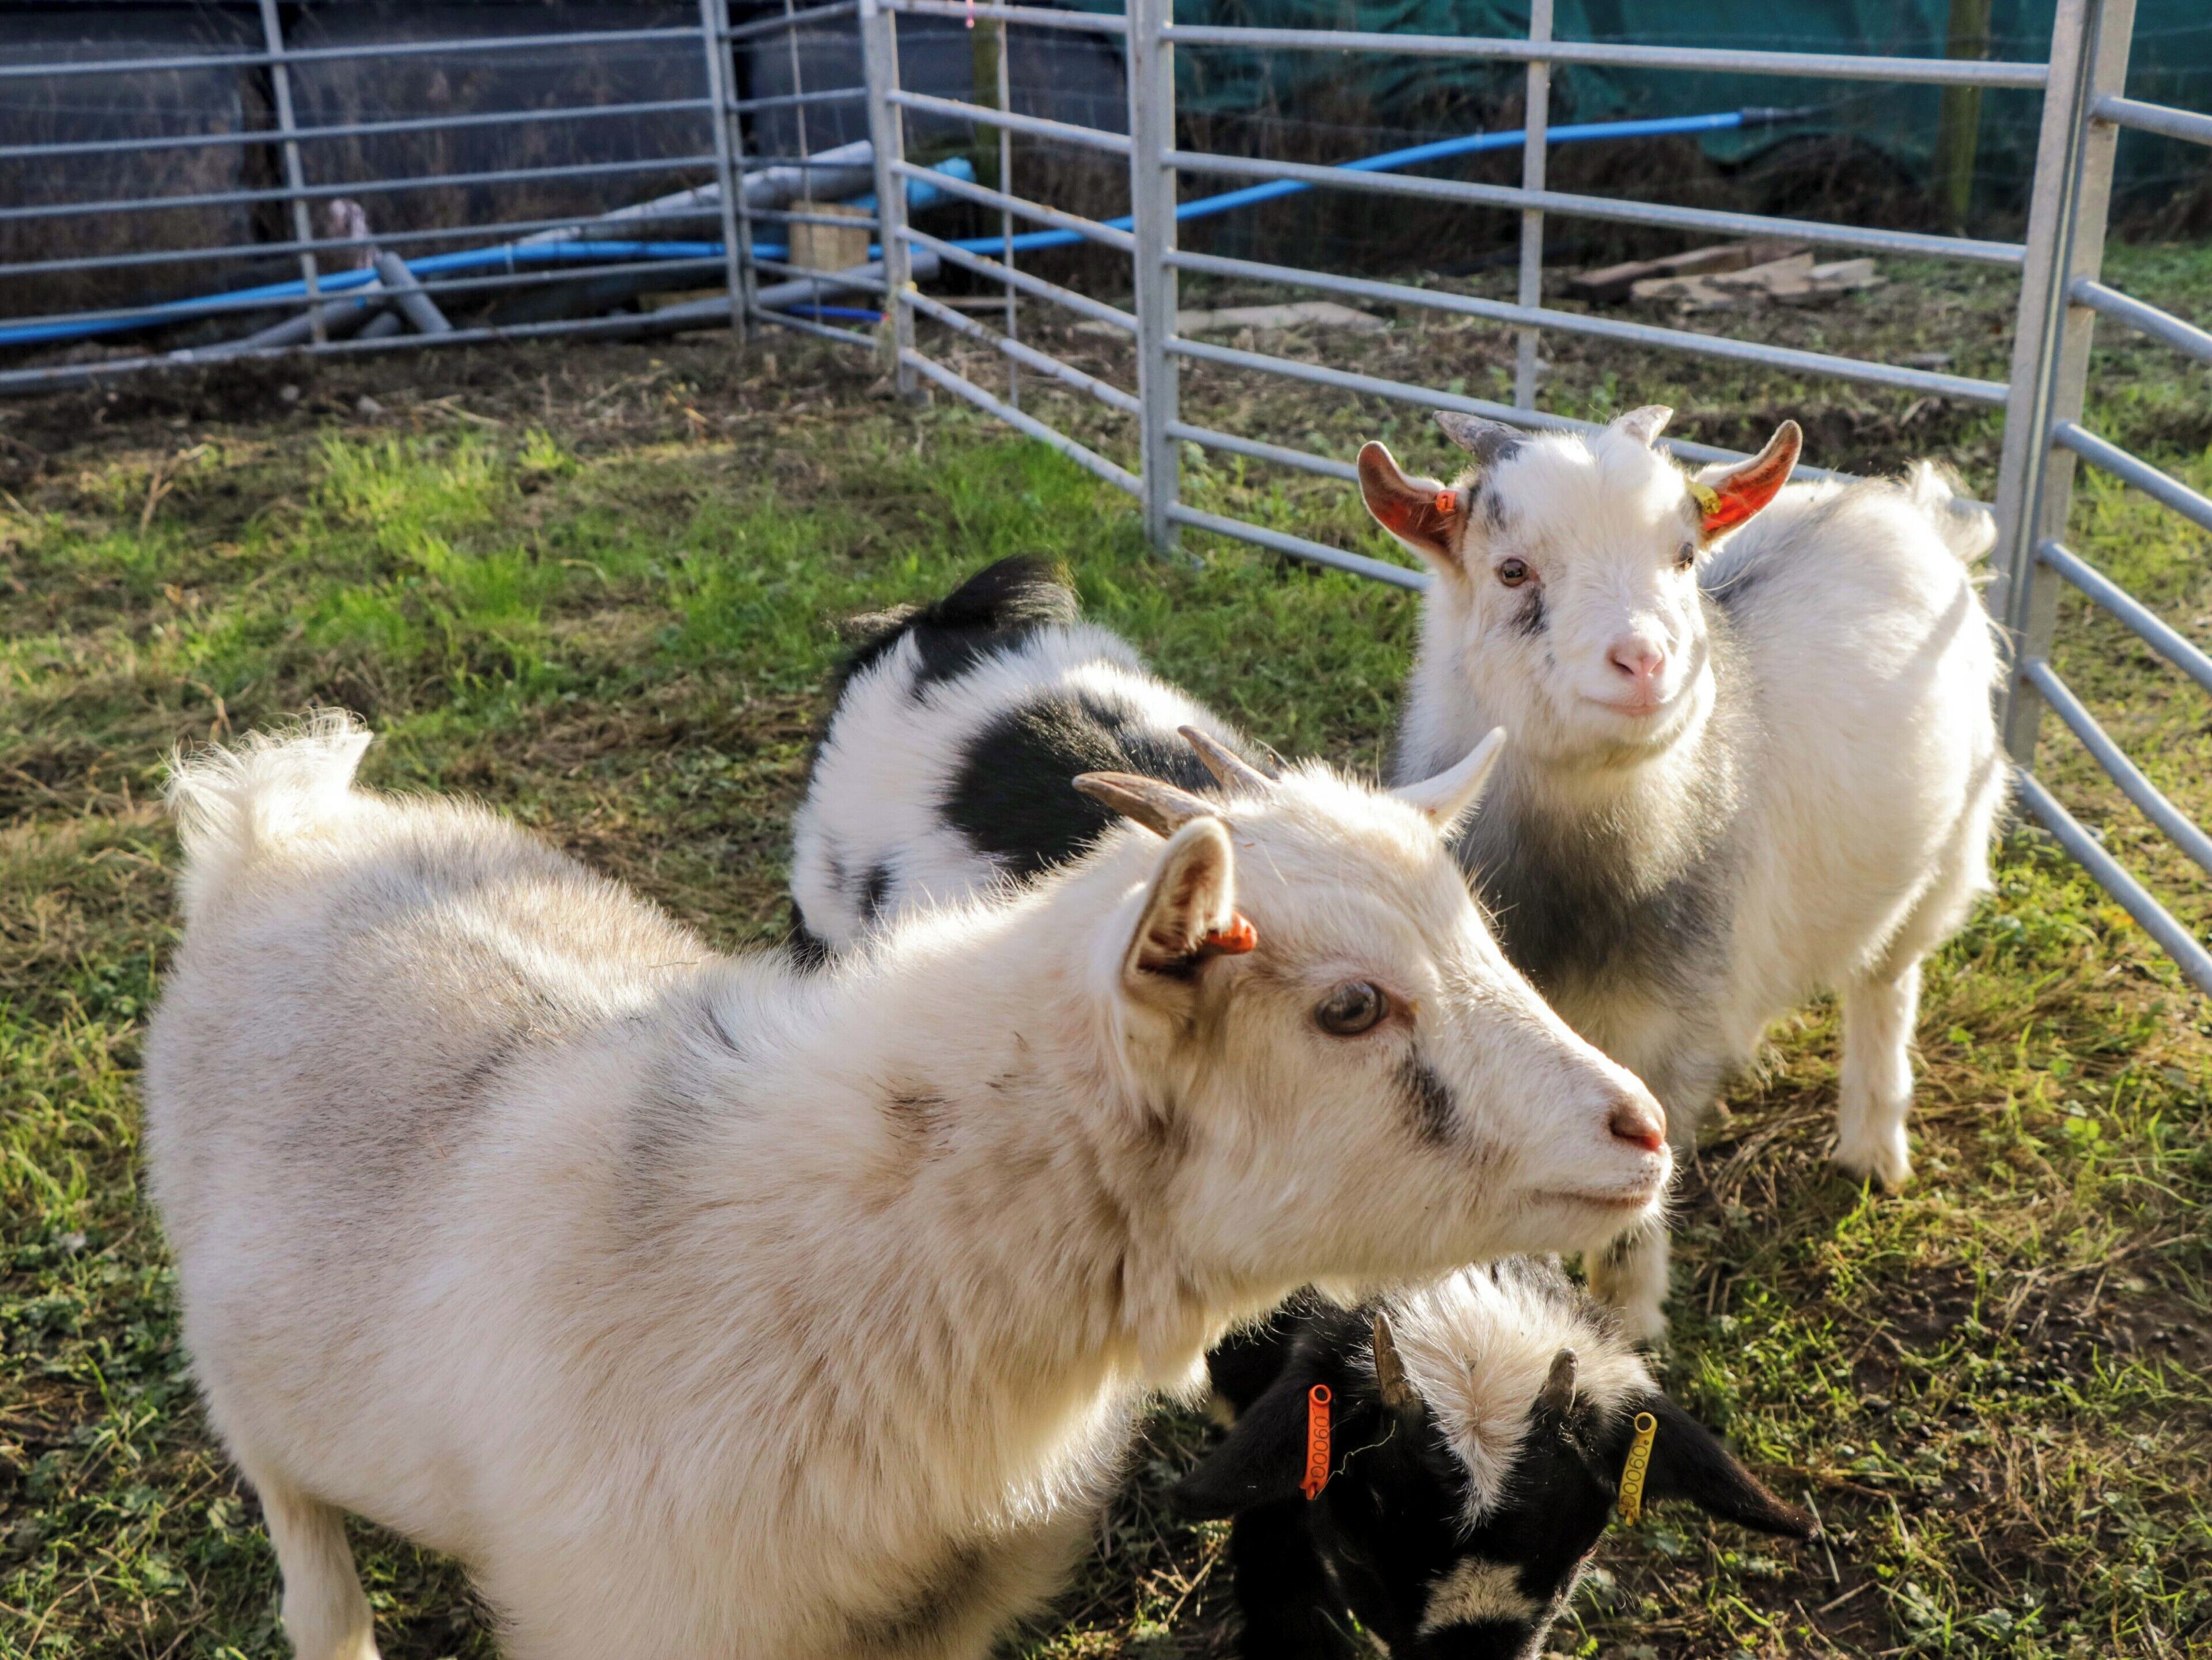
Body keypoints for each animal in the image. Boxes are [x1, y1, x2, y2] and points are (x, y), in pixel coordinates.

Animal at [144, 710, 1671, 1660]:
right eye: (1350, 1007)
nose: (1642, 1131)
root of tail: (274, 826)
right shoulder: (643, 1611)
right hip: (238, 1363)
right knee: (296, 1516)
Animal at [1359, 408, 2005, 1341]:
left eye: (1684, 557)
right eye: (1513, 568)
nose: (1644, 660)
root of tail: (1901, 506)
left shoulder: (1658, 1039)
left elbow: (1636, 1196)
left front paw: (1625, 1325)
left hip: (1948, 854)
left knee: (1886, 986)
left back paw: (1872, 1146)